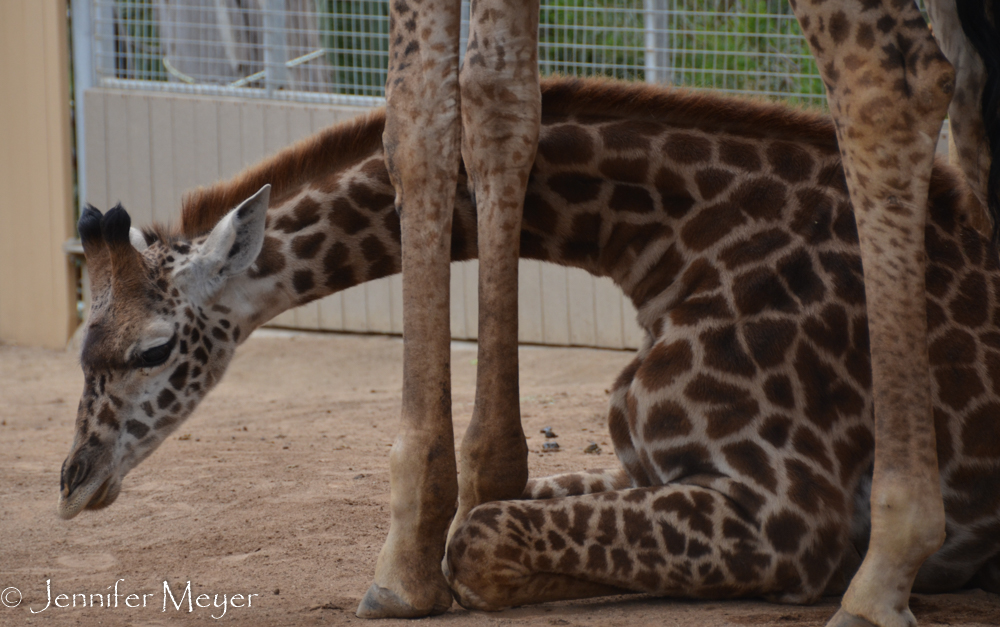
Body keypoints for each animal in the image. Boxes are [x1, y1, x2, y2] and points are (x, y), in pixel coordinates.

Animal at [60, 78, 1000, 612]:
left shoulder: (786, 509)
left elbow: (478, 537)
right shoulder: (654, 468)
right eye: (80, 344)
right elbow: (490, 517)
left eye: (152, 351)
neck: (685, 244)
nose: (73, 483)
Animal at [362, 1, 1000, 627]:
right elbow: (498, 99)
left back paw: (879, 579)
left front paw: (406, 563)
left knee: (887, 83)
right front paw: (474, 496)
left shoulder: (780, 513)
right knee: (969, 86)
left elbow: (415, 116)